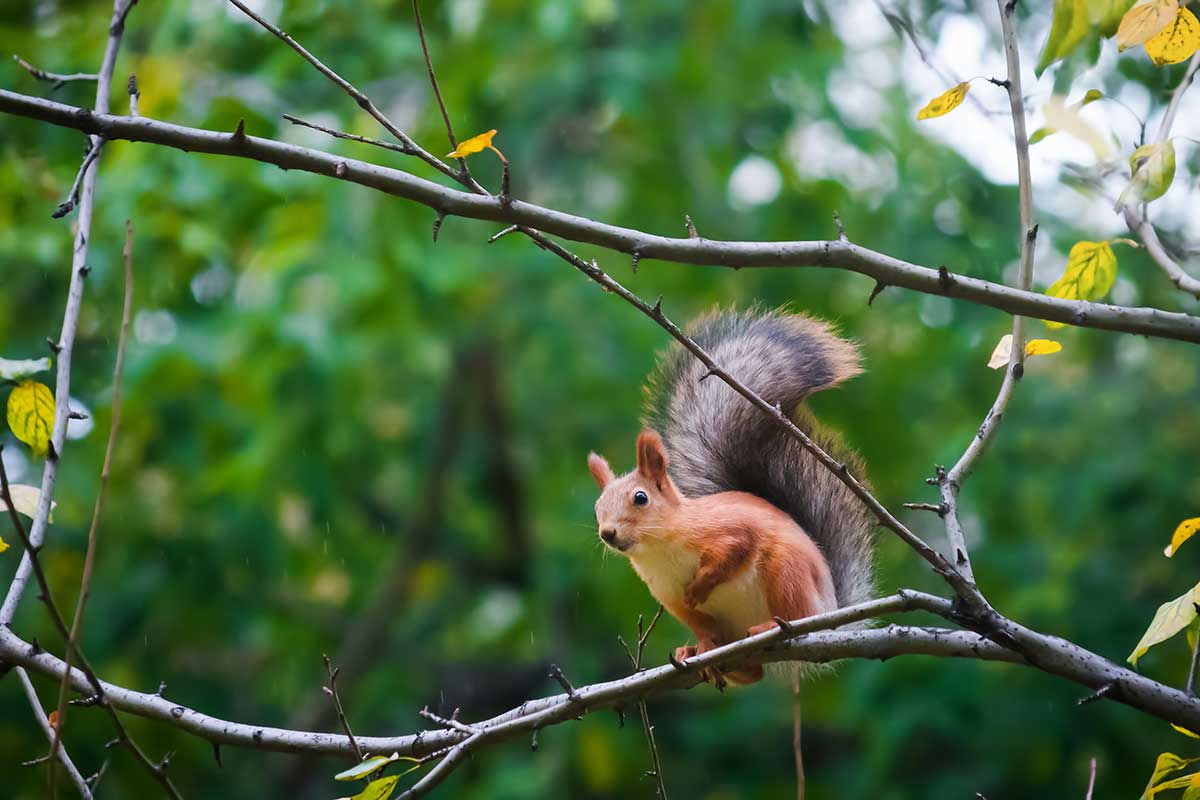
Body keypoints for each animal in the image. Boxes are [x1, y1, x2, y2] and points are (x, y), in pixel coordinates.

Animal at [588, 309, 878, 690]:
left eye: (641, 498)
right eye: (597, 509)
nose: (608, 533)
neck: (661, 550)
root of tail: (830, 612)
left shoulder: (730, 528)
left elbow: (735, 550)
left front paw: (702, 584)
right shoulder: (673, 600)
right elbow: (701, 625)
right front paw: (699, 647)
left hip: (787, 574)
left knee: (794, 619)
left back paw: (773, 627)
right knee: (753, 672)